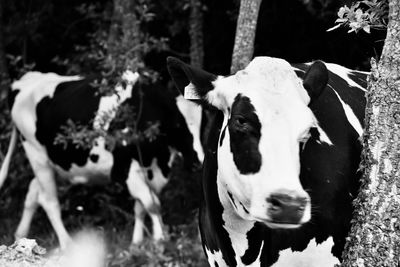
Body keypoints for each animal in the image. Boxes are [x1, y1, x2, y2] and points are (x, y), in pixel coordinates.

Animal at [0, 70, 203, 250]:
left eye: (204, 124)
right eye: (178, 124)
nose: (198, 161)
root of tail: (24, 79)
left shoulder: (151, 170)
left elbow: (141, 207)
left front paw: (137, 243)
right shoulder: (125, 168)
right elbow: (152, 205)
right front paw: (160, 240)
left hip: (53, 161)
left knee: (33, 191)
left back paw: (20, 236)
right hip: (36, 155)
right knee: (49, 200)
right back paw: (67, 244)